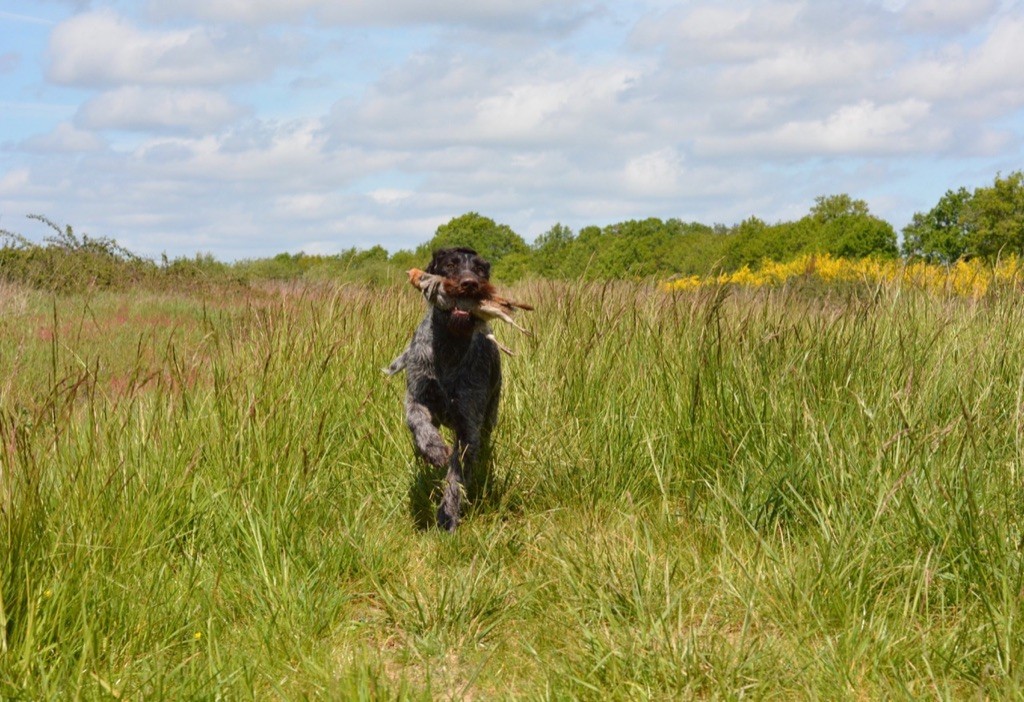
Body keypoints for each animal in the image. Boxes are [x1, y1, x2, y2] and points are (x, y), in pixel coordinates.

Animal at [385, 250, 501, 532]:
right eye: (450, 265)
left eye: (480, 269)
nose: (469, 284)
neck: (449, 347)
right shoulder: (416, 398)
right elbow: (419, 423)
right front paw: (433, 449)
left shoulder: (468, 428)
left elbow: (455, 479)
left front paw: (447, 515)